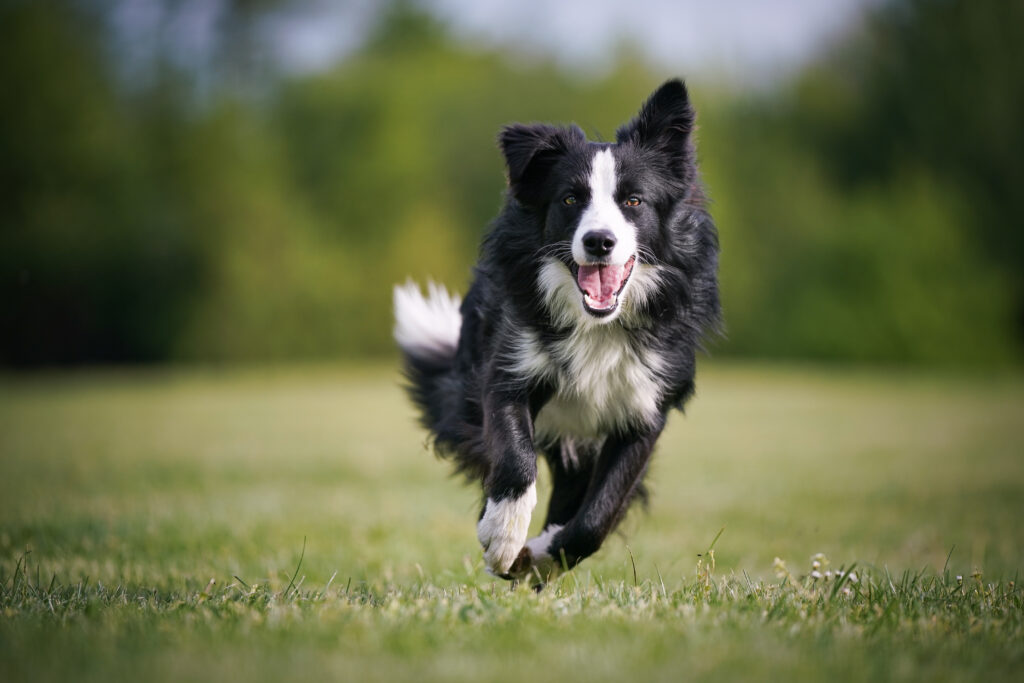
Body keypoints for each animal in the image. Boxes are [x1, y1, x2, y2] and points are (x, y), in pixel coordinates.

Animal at [391, 78, 720, 581]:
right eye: (570, 199)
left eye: (633, 201)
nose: (599, 241)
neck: (597, 326)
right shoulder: (508, 369)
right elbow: (514, 458)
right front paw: (503, 537)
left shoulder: (646, 408)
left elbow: (598, 513)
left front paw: (544, 555)